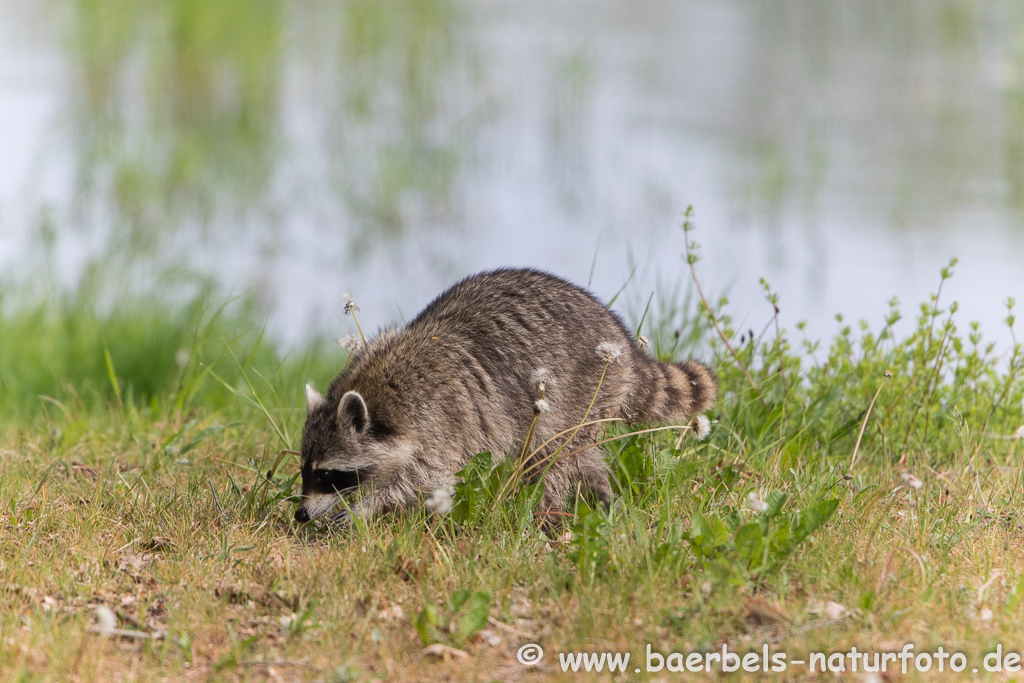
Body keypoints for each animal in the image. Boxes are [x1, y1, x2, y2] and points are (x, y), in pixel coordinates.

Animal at [292, 266, 716, 524]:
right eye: (305, 471)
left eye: (329, 475)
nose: (300, 515)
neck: (380, 391)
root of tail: (624, 346)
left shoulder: (440, 420)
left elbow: (428, 476)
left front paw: (368, 505)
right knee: (579, 457)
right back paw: (599, 493)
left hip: (580, 392)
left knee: (553, 457)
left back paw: (548, 510)